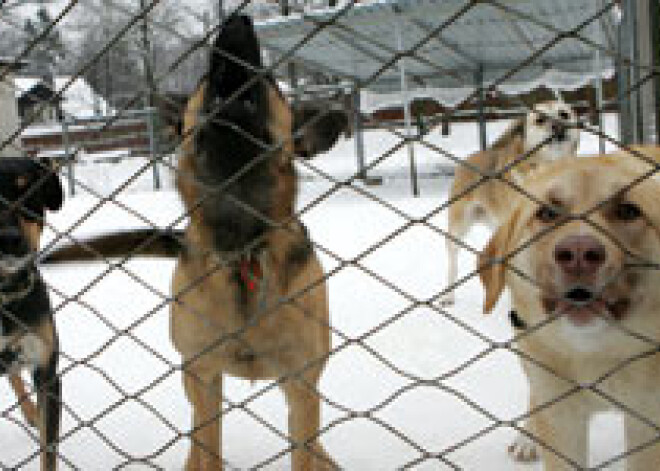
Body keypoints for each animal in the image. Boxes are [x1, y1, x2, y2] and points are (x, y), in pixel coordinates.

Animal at [42, 14, 340, 471]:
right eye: (204, 77)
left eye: (269, 76)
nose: (237, 24)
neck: (239, 247)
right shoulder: (204, 377)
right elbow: (206, 447)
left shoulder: (302, 386)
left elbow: (303, 444)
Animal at [444, 100, 576, 306]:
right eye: (540, 119)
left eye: (564, 114)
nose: (559, 126)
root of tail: (471, 157)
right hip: (458, 225)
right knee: (452, 260)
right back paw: (448, 295)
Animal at [476, 152, 660, 471]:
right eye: (548, 213)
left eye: (627, 211)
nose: (578, 254)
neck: (597, 355)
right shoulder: (562, 417)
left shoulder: (646, 422)